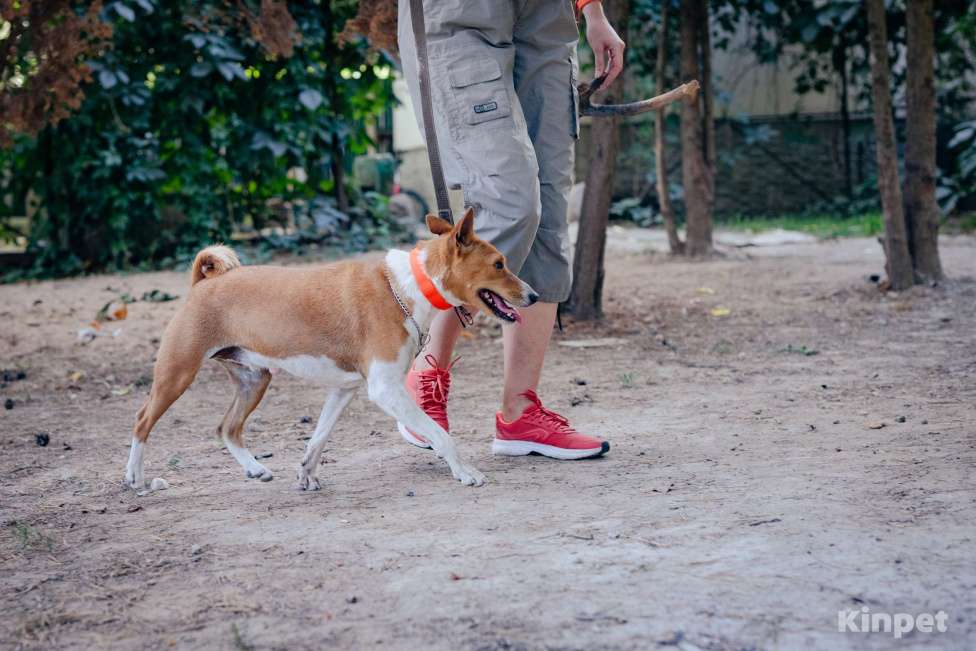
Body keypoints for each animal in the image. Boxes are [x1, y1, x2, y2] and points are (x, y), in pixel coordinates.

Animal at [125, 211, 536, 492]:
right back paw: (136, 478)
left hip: (254, 380)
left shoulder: (344, 388)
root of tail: (203, 283)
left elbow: (319, 437)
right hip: (177, 374)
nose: (533, 296)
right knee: (142, 421)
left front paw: (306, 472)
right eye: (499, 264)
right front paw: (464, 471)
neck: (407, 287)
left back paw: (254, 468)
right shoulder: (384, 389)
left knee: (227, 427)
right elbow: (440, 433)